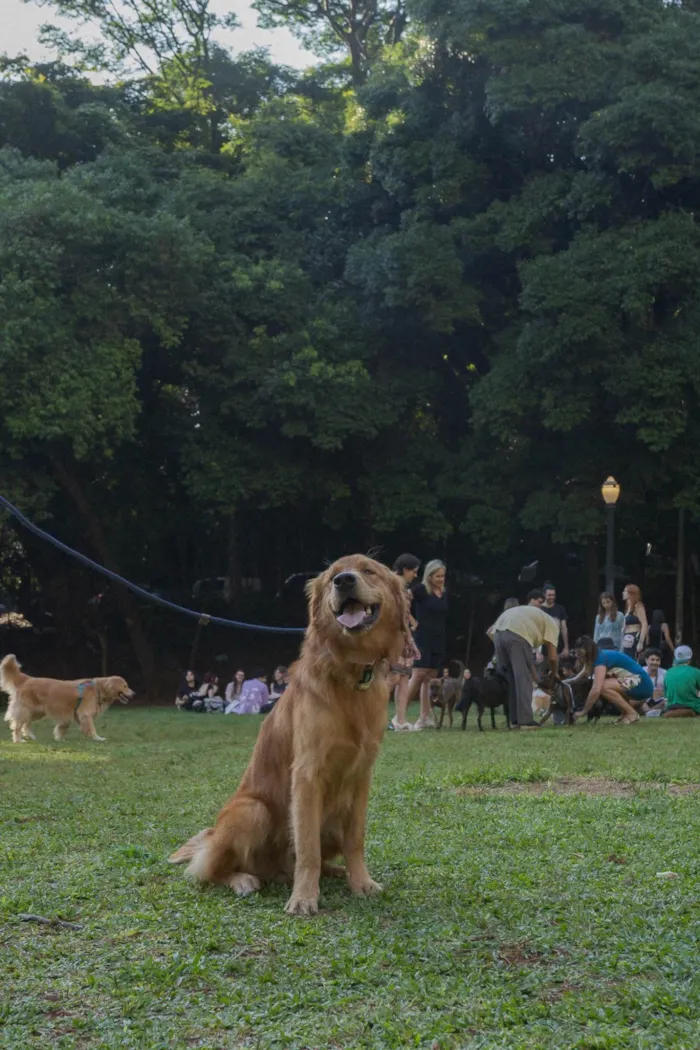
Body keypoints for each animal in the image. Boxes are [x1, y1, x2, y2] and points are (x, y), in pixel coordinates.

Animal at [1, 651, 134, 743]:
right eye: (125, 686)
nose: (134, 694)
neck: (98, 689)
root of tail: (27, 679)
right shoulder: (85, 713)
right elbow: (91, 728)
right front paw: (98, 738)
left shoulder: (71, 714)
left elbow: (63, 726)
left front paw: (59, 738)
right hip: (26, 710)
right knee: (17, 725)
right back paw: (18, 740)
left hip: (37, 711)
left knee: (26, 724)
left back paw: (30, 736)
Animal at [170, 554, 407, 915]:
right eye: (333, 575)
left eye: (368, 570)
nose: (344, 581)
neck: (349, 674)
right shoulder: (307, 774)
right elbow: (307, 849)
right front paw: (304, 897)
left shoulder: (362, 776)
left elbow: (356, 839)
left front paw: (361, 882)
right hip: (252, 811)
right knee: (208, 870)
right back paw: (243, 880)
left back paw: (334, 872)